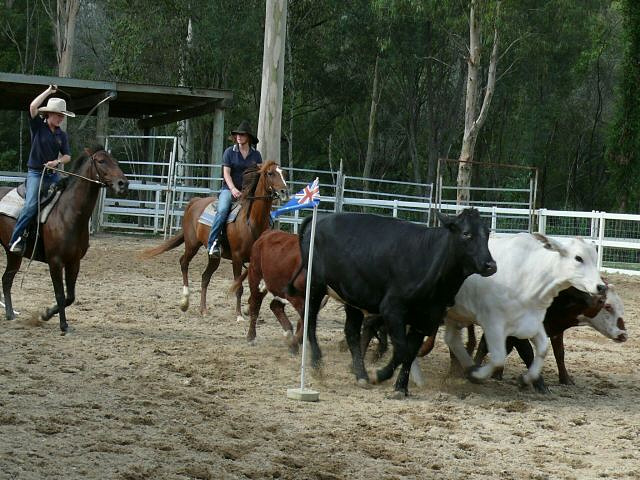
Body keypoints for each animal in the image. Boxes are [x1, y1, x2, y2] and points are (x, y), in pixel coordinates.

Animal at [0, 147, 129, 334]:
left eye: (116, 162)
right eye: (101, 161)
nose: (123, 184)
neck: (69, 213)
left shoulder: (73, 262)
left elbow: (70, 297)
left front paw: (46, 314)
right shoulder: (55, 262)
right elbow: (60, 295)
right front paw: (63, 325)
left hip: (13, 255)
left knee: (7, 279)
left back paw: (10, 314)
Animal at [142, 160, 290, 318]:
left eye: (283, 173)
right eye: (270, 173)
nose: (285, 192)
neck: (252, 222)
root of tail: (195, 201)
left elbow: (259, 286)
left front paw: (248, 308)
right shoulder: (237, 258)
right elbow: (239, 287)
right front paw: (239, 315)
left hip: (214, 257)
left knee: (205, 277)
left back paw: (203, 309)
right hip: (192, 245)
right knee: (183, 263)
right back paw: (185, 302)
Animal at [288, 208, 498, 396]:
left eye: (487, 233)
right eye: (466, 233)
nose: (490, 265)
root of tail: (321, 217)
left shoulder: (426, 318)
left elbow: (410, 353)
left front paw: (400, 388)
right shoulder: (392, 309)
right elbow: (402, 350)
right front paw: (380, 375)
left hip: (352, 297)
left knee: (352, 333)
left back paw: (361, 375)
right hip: (315, 286)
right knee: (310, 321)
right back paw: (317, 364)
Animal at [444, 232, 604, 386]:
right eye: (578, 258)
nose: (601, 287)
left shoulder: (532, 322)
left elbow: (543, 350)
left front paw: (527, 379)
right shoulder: (494, 324)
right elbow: (500, 357)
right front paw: (479, 374)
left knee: (452, 339)